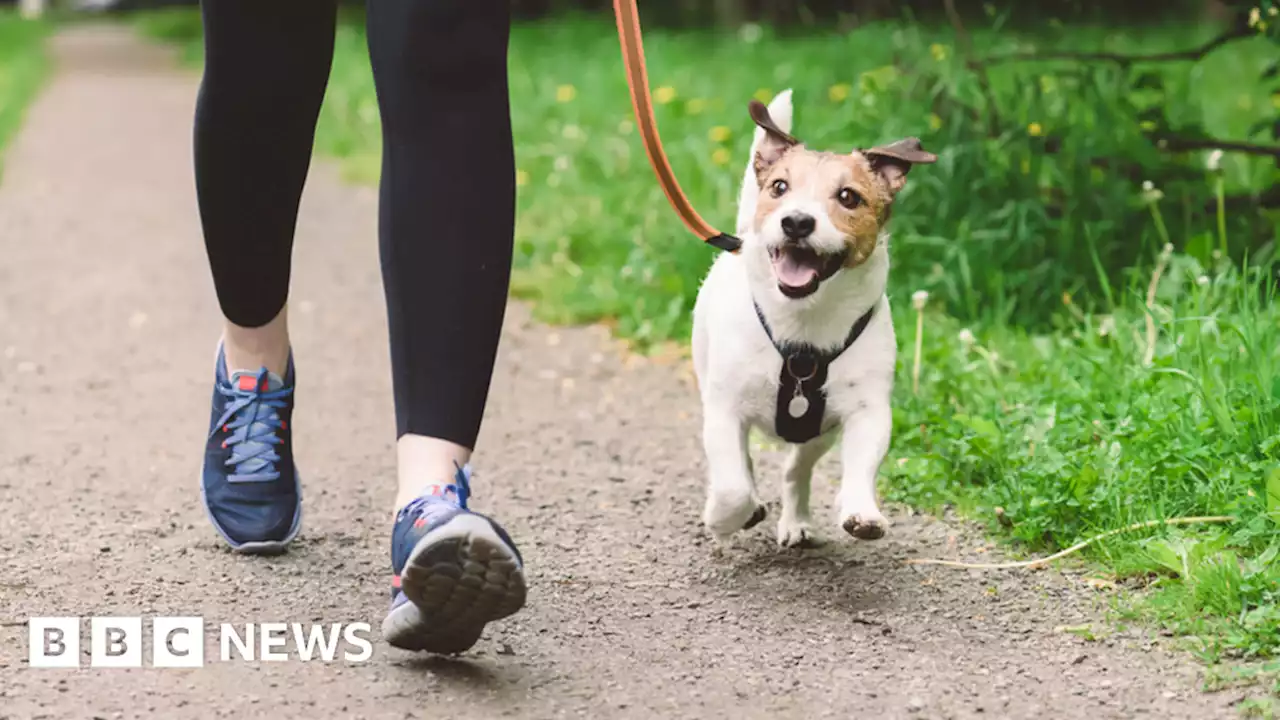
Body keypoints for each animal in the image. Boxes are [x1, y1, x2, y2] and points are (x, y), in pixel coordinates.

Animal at [696, 88, 936, 543]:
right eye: (779, 187)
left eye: (848, 197)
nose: (796, 222)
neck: (803, 325)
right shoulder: (723, 409)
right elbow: (733, 485)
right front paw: (724, 517)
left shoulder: (867, 410)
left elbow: (861, 464)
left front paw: (862, 512)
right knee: (744, 466)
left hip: (817, 433)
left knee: (796, 469)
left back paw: (796, 521)